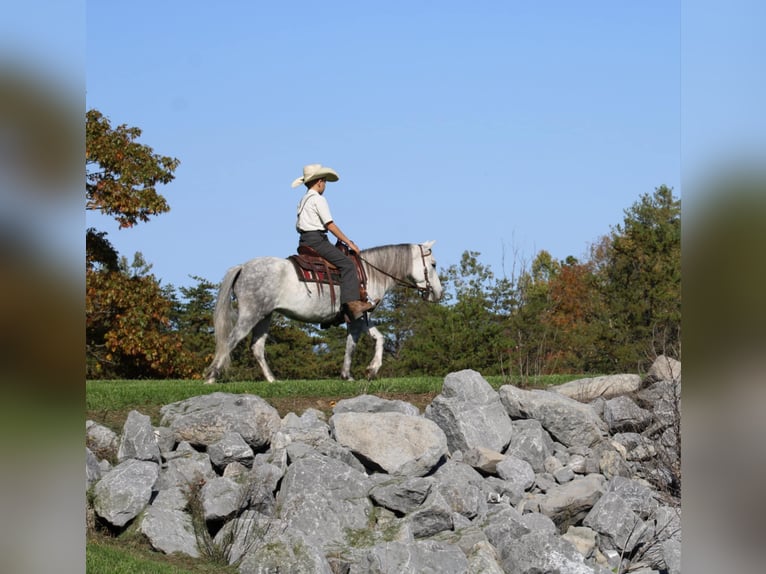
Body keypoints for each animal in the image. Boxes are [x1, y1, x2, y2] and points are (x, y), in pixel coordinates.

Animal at [206, 241, 444, 384]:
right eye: (433, 264)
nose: (438, 293)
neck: (369, 273)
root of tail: (243, 267)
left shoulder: (361, 316)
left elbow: (373, 339)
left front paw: (361, 372)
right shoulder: (357, 317)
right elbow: (357, 343)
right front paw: (363, 371)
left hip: (264, 316)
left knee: (257, 347)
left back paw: (272, 380)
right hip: (250, 315)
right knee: (229, 341)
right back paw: (211, 378)